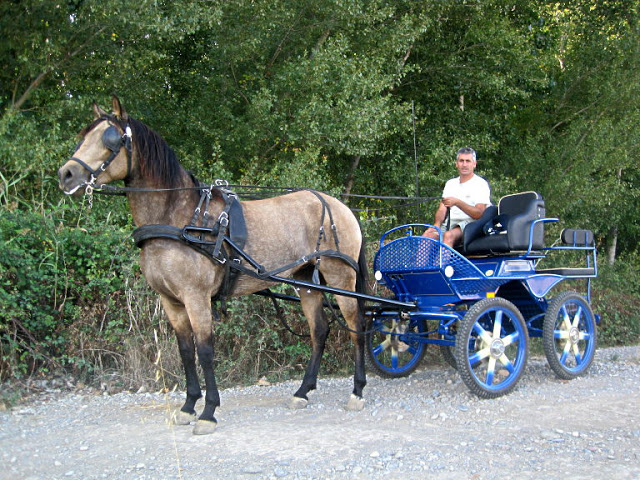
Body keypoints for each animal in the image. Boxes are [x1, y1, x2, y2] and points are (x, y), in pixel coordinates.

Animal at [60, 96, 370, 436]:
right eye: (83, 135)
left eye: (110, 139)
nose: (66, 174)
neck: (180, 216)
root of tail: (341, 207)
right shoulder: (171, 301)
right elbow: (186, 350)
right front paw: (188, 407)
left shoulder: (196, 297)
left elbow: (206, 350)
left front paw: (208, 412)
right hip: (306, 281)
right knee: (319, 330)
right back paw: (302, 392)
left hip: (341, 277)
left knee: (356, 324)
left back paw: (357, 391)